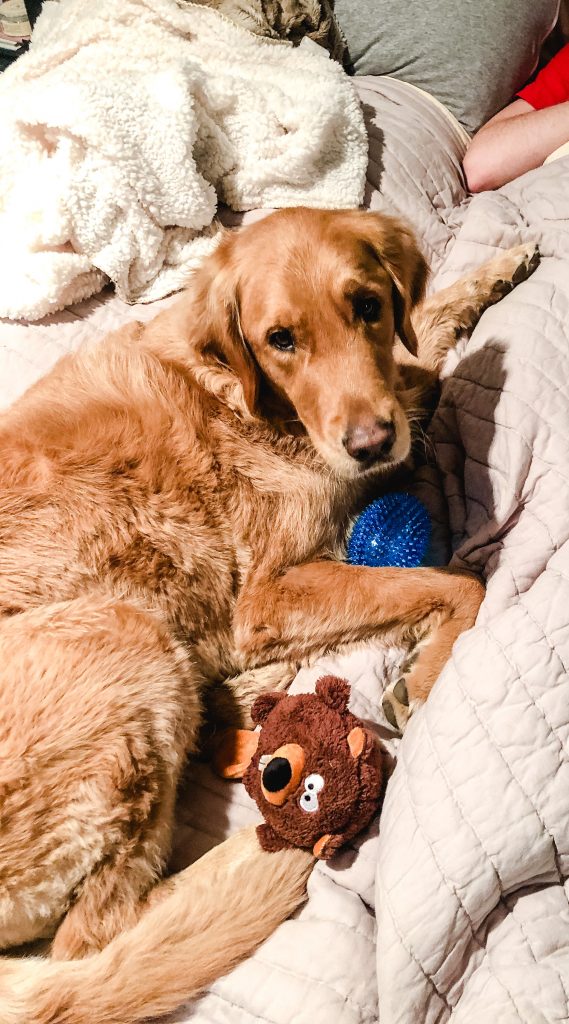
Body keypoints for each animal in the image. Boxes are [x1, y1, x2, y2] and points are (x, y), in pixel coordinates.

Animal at [0, 209, 536, 1024]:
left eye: (368, 306)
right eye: (280, 339)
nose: (371, 444)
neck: (242, 397)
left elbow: (423, 351)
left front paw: (499, 270)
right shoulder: (266, 594)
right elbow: (457, 583)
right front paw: (425, 677)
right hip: (128, 636)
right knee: (95, 943)